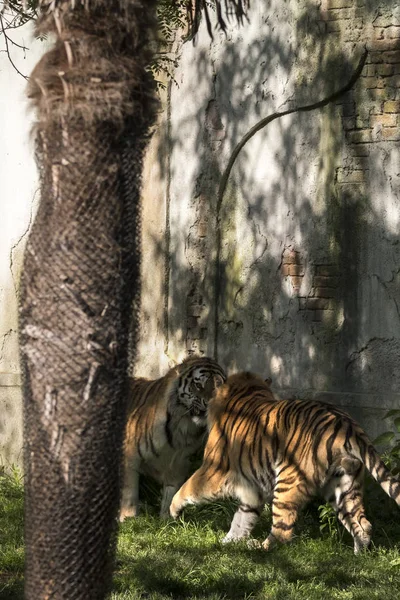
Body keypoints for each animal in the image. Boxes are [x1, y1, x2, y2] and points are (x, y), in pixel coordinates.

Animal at [119, 356, 225, 520]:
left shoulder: (179, 462)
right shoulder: (129, 456)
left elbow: (171, 492)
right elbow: (129, 490)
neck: (183, 426)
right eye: (198, 385)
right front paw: (128, 518)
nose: (210, 404)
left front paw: (167, 519)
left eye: (218, 386)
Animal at [170, 370, 400, 552]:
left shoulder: (213, 470)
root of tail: (347, 425)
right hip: (344, 485)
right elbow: (243, 517)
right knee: (363, 524)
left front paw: (173, 511)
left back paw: (258, 548)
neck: (247, 391)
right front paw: (228, 542)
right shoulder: (252, 487)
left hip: (288, 483)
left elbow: (188, 488)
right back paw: (359, 556)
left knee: (283, 531)